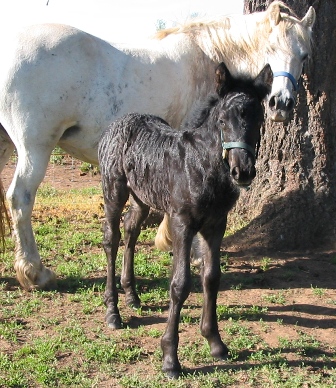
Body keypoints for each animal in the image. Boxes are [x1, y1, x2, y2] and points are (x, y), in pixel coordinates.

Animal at [0, 1, 316, 290]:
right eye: (271, 49)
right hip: (35, 148)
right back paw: (35, 272)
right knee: (20, 199)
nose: (281, 104)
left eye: (304, 55)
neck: (208, 59)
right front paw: (190, 251)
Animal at [98, 62, 272, 378]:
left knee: (131, 230)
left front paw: (215, 342)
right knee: (111, 239)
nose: (242, 171)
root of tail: (120, 122)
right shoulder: (182, 223)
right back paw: (113, 311)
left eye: (259, 118)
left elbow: (211, 277)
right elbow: (180, 284)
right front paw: (170, 358)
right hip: (113, 190)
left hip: (143, 197)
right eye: (222, 122)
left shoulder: (216, 224)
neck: (201, 166)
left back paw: (132, 295)